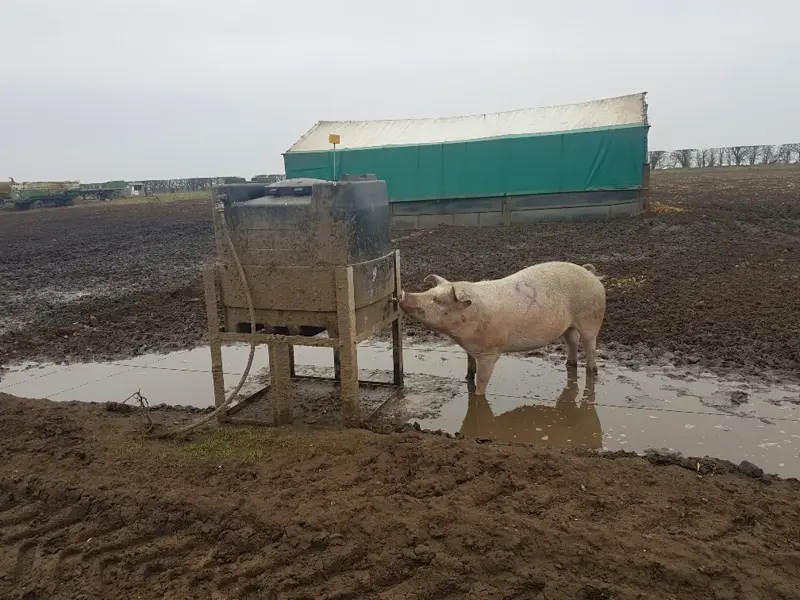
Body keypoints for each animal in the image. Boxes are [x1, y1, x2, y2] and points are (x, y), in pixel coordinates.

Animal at [398, 261, 605, 396]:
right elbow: (470, 368)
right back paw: (569, 364)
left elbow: (482, 380)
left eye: (437, 300)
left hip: (591, 318)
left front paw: (477, 396)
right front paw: (466, 378)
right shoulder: (469, 348)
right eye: (429, 291)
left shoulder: (490, 352)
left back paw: (592, 371)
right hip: (568, 325)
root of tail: (590, 273)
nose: (402, 294)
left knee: (590, 345)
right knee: (572, 341)